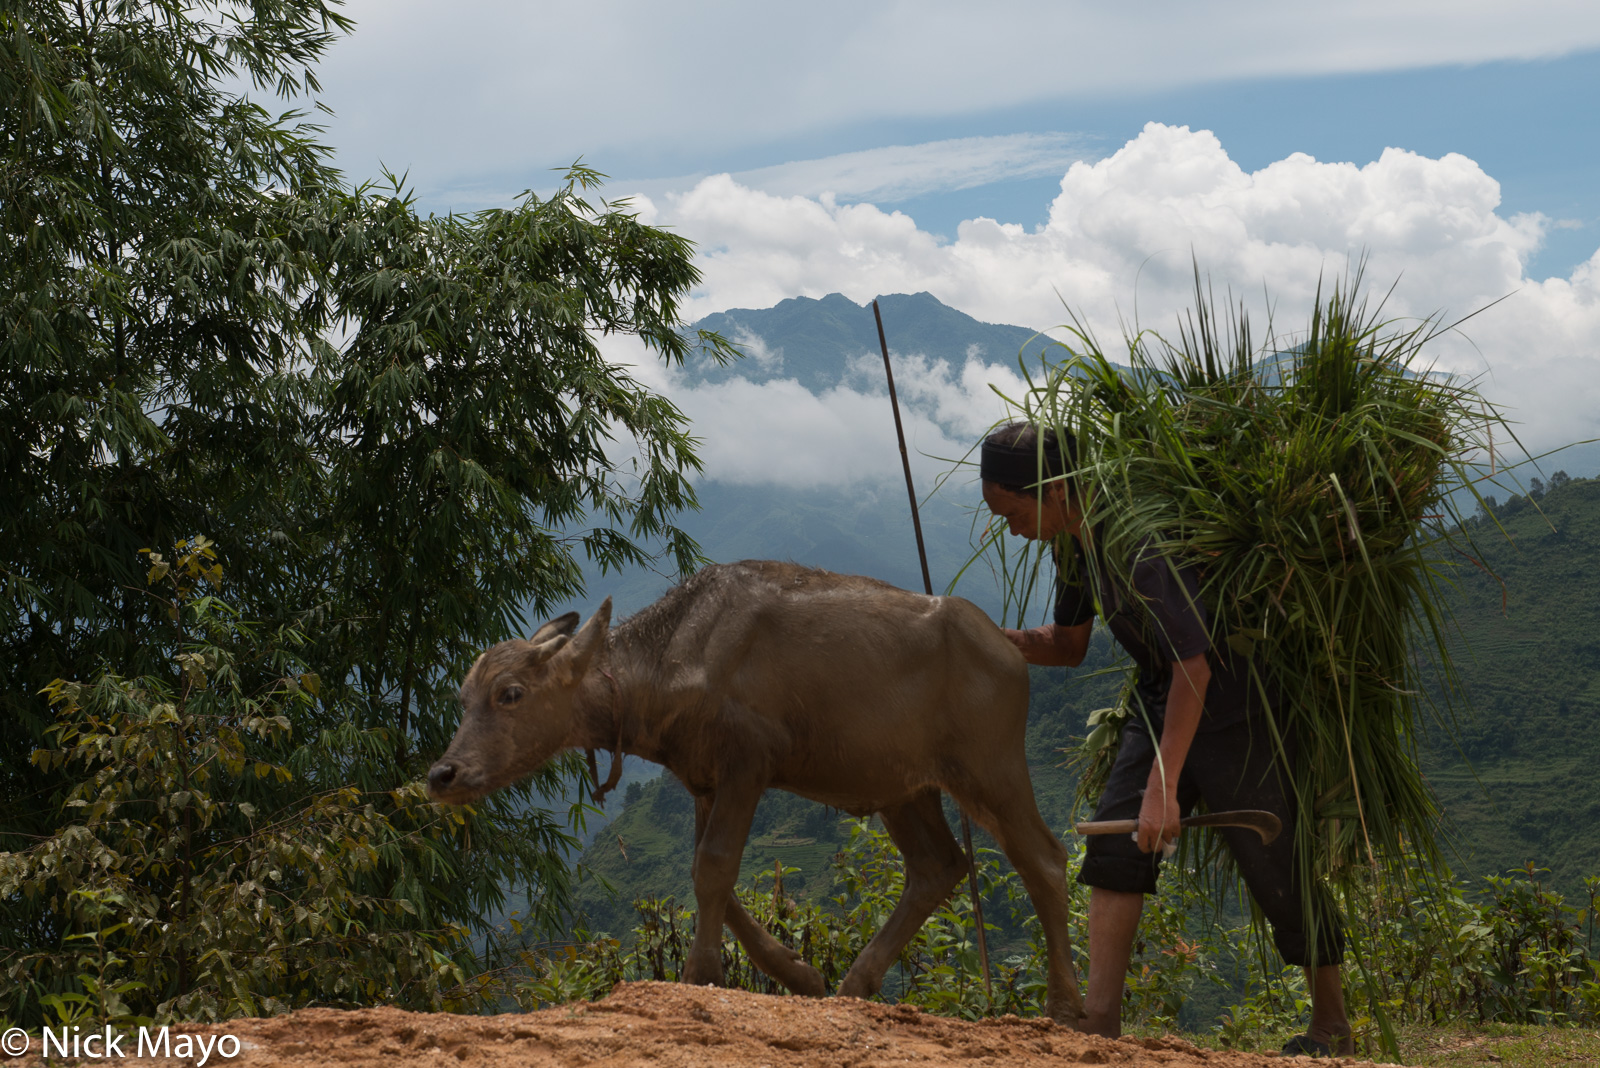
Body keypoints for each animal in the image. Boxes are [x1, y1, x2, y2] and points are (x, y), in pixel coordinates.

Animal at [428, 559, 1088, 1023]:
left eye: (511, 693)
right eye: (464, 696)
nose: (443, 775)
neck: (677, 653)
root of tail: (1004, 648)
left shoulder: (748, 762)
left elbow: (716, 867)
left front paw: (700, 974)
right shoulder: (703, 780)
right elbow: (709, 877)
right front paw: (800, 975)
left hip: (990, 769)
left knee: (1044, 860)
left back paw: (1067, 1009)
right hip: (906, 788)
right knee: (938, 865)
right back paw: (853, 984)